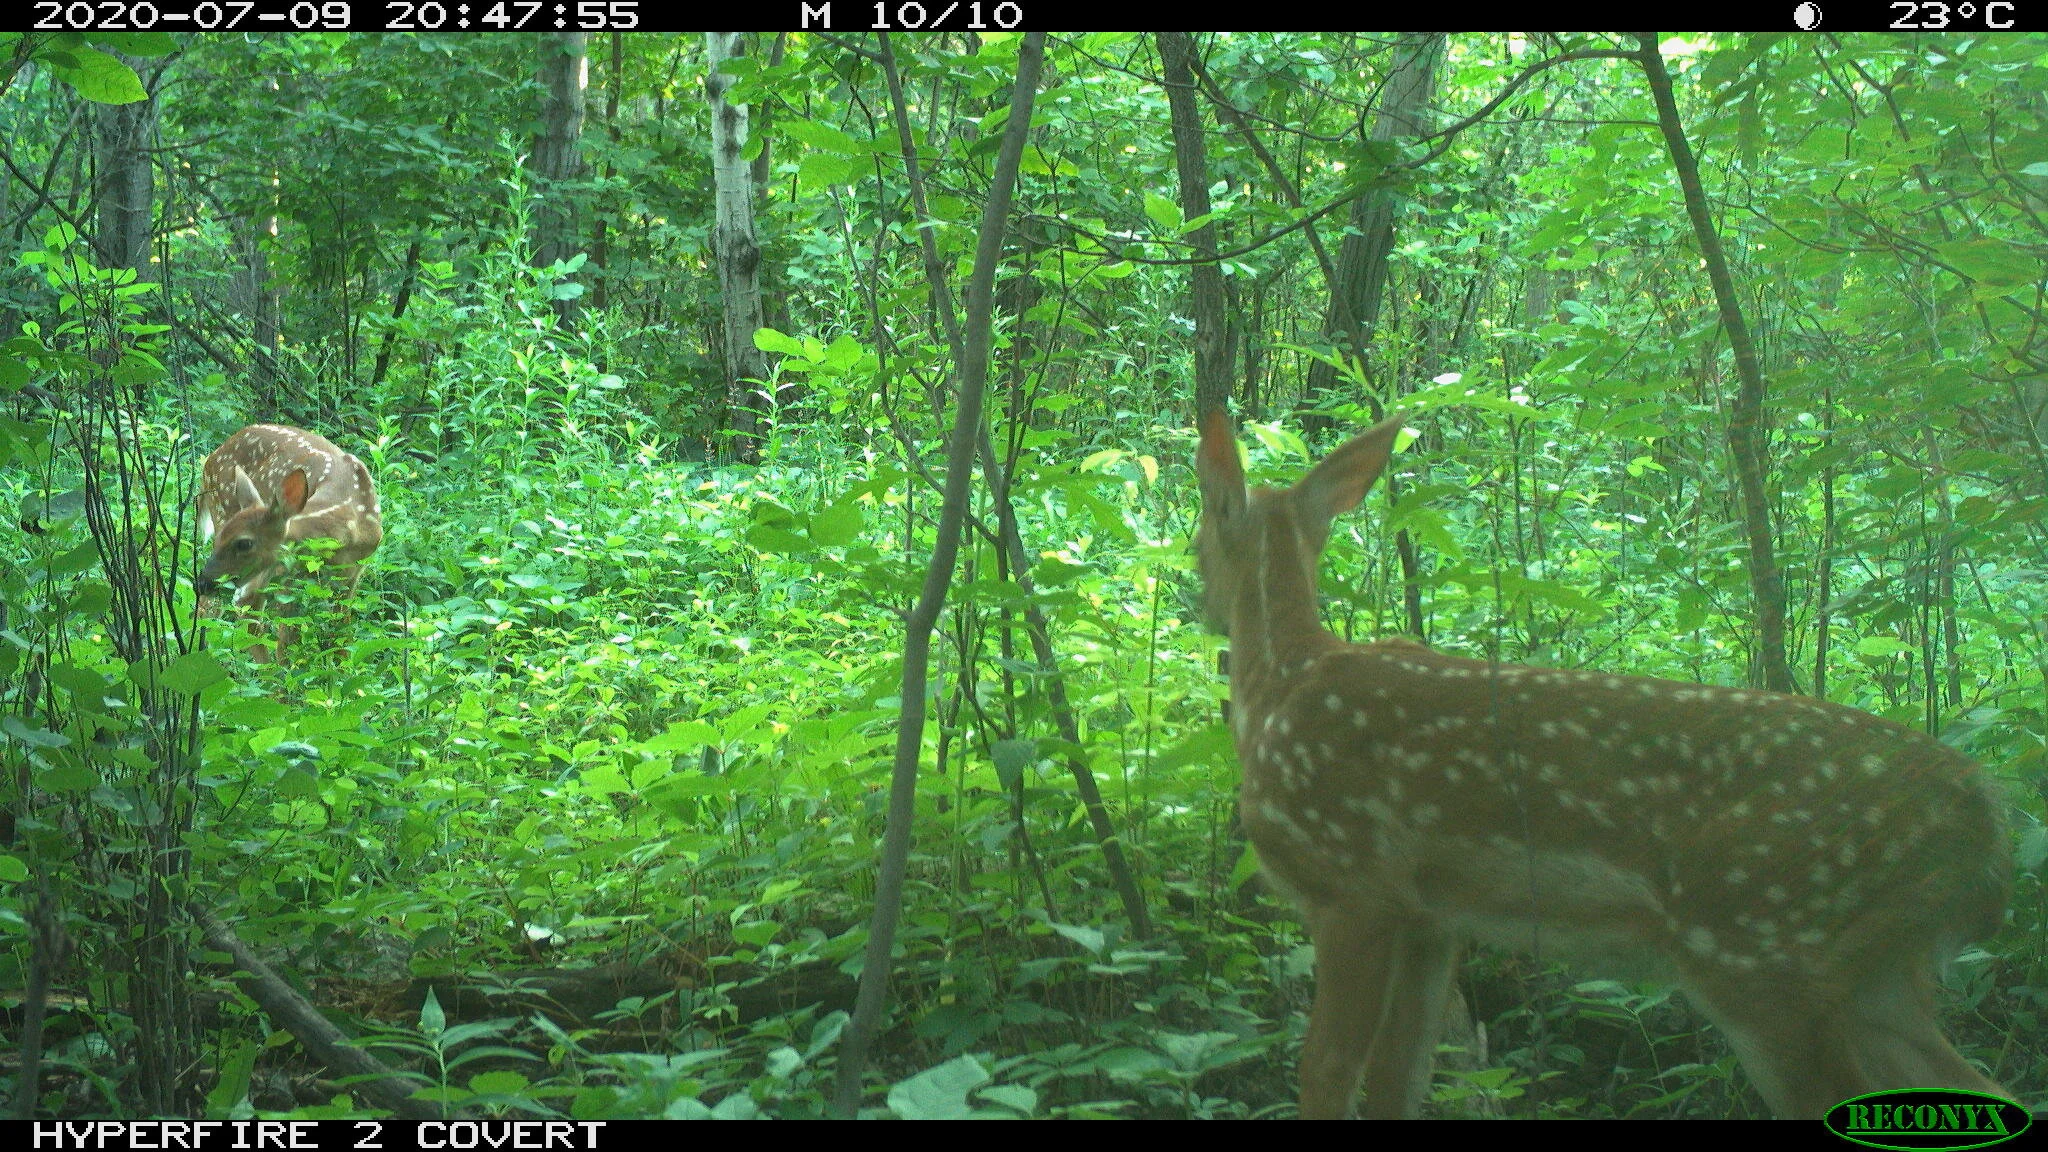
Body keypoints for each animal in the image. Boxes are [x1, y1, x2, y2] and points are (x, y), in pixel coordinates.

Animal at [197, 424, 383, 662]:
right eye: (223, 539)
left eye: (244, 543)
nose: (203, 582)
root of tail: (211, 457)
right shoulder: (292, 578)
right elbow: (287, 644)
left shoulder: (352, 575)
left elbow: (341, 638)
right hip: (223, 510)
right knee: (226, 607)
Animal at [1192, 411, 2014, 1120]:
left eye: (1198, 538)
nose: (1199, 600)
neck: (1282, 681)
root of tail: (1984, 816)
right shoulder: (1431, 915)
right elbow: (1404, 1076)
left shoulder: (1352, 884)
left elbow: (1329, 1070)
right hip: (1876, 974)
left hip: (1764, 950)